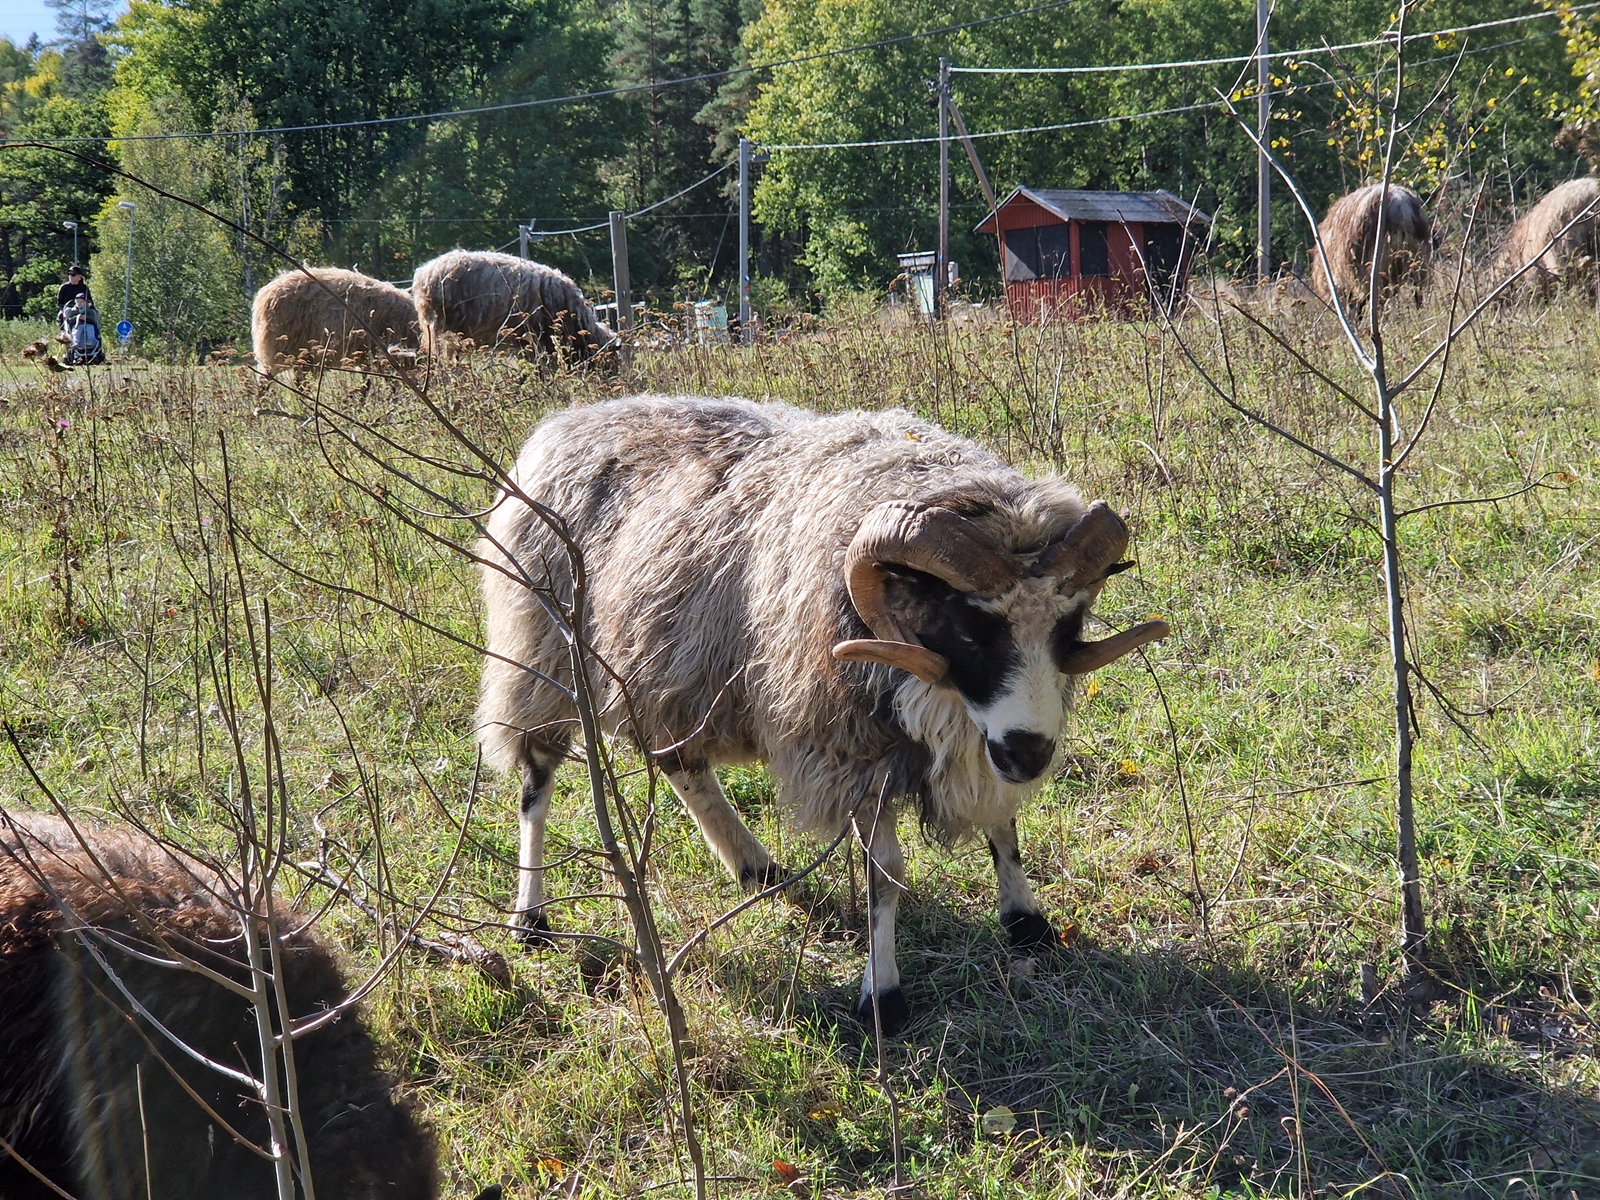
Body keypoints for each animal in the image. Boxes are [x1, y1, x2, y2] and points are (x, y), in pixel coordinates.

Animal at [473, 400, 1164, 1036]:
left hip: (667, 680)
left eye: (1068, 629)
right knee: (536, 782)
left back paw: (755, 867)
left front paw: (1026, 921)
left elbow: (1004, 823)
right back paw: (530, 919)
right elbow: (885, 877)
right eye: (969, 630)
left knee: (680, 765)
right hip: (542, 660)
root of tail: (563, 422)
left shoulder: (982, 741)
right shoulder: (850, 750)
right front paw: (882, 999)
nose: (1030, 754)